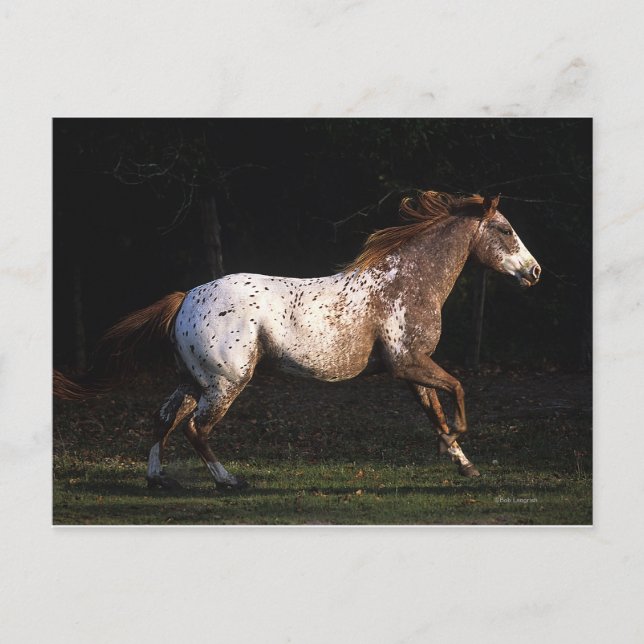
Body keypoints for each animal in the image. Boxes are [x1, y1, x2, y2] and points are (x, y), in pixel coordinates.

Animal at [54, 190, 541, 490]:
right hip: (226, 383)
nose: (535, 272)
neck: (405, 282)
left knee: (163, 419)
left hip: (192, 381)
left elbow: (435, 410)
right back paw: (229, 481)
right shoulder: (408, 362)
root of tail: (186, 298)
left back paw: (159, 479)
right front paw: (454, 442)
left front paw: (463, 462)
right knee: (196, 429)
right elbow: (457, 390)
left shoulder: (412, 368)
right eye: (505, 230)